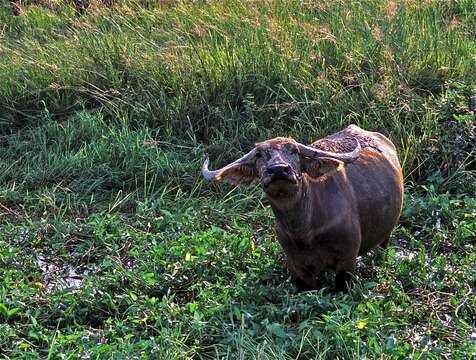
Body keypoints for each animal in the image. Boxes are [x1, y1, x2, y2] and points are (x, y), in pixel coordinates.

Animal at [203, 125, 404, 292]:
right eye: (259, 155)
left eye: (294, 150)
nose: (278, 170)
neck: (304, 230)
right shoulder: (297, 268)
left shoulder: (347, 260)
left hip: (386, 235)